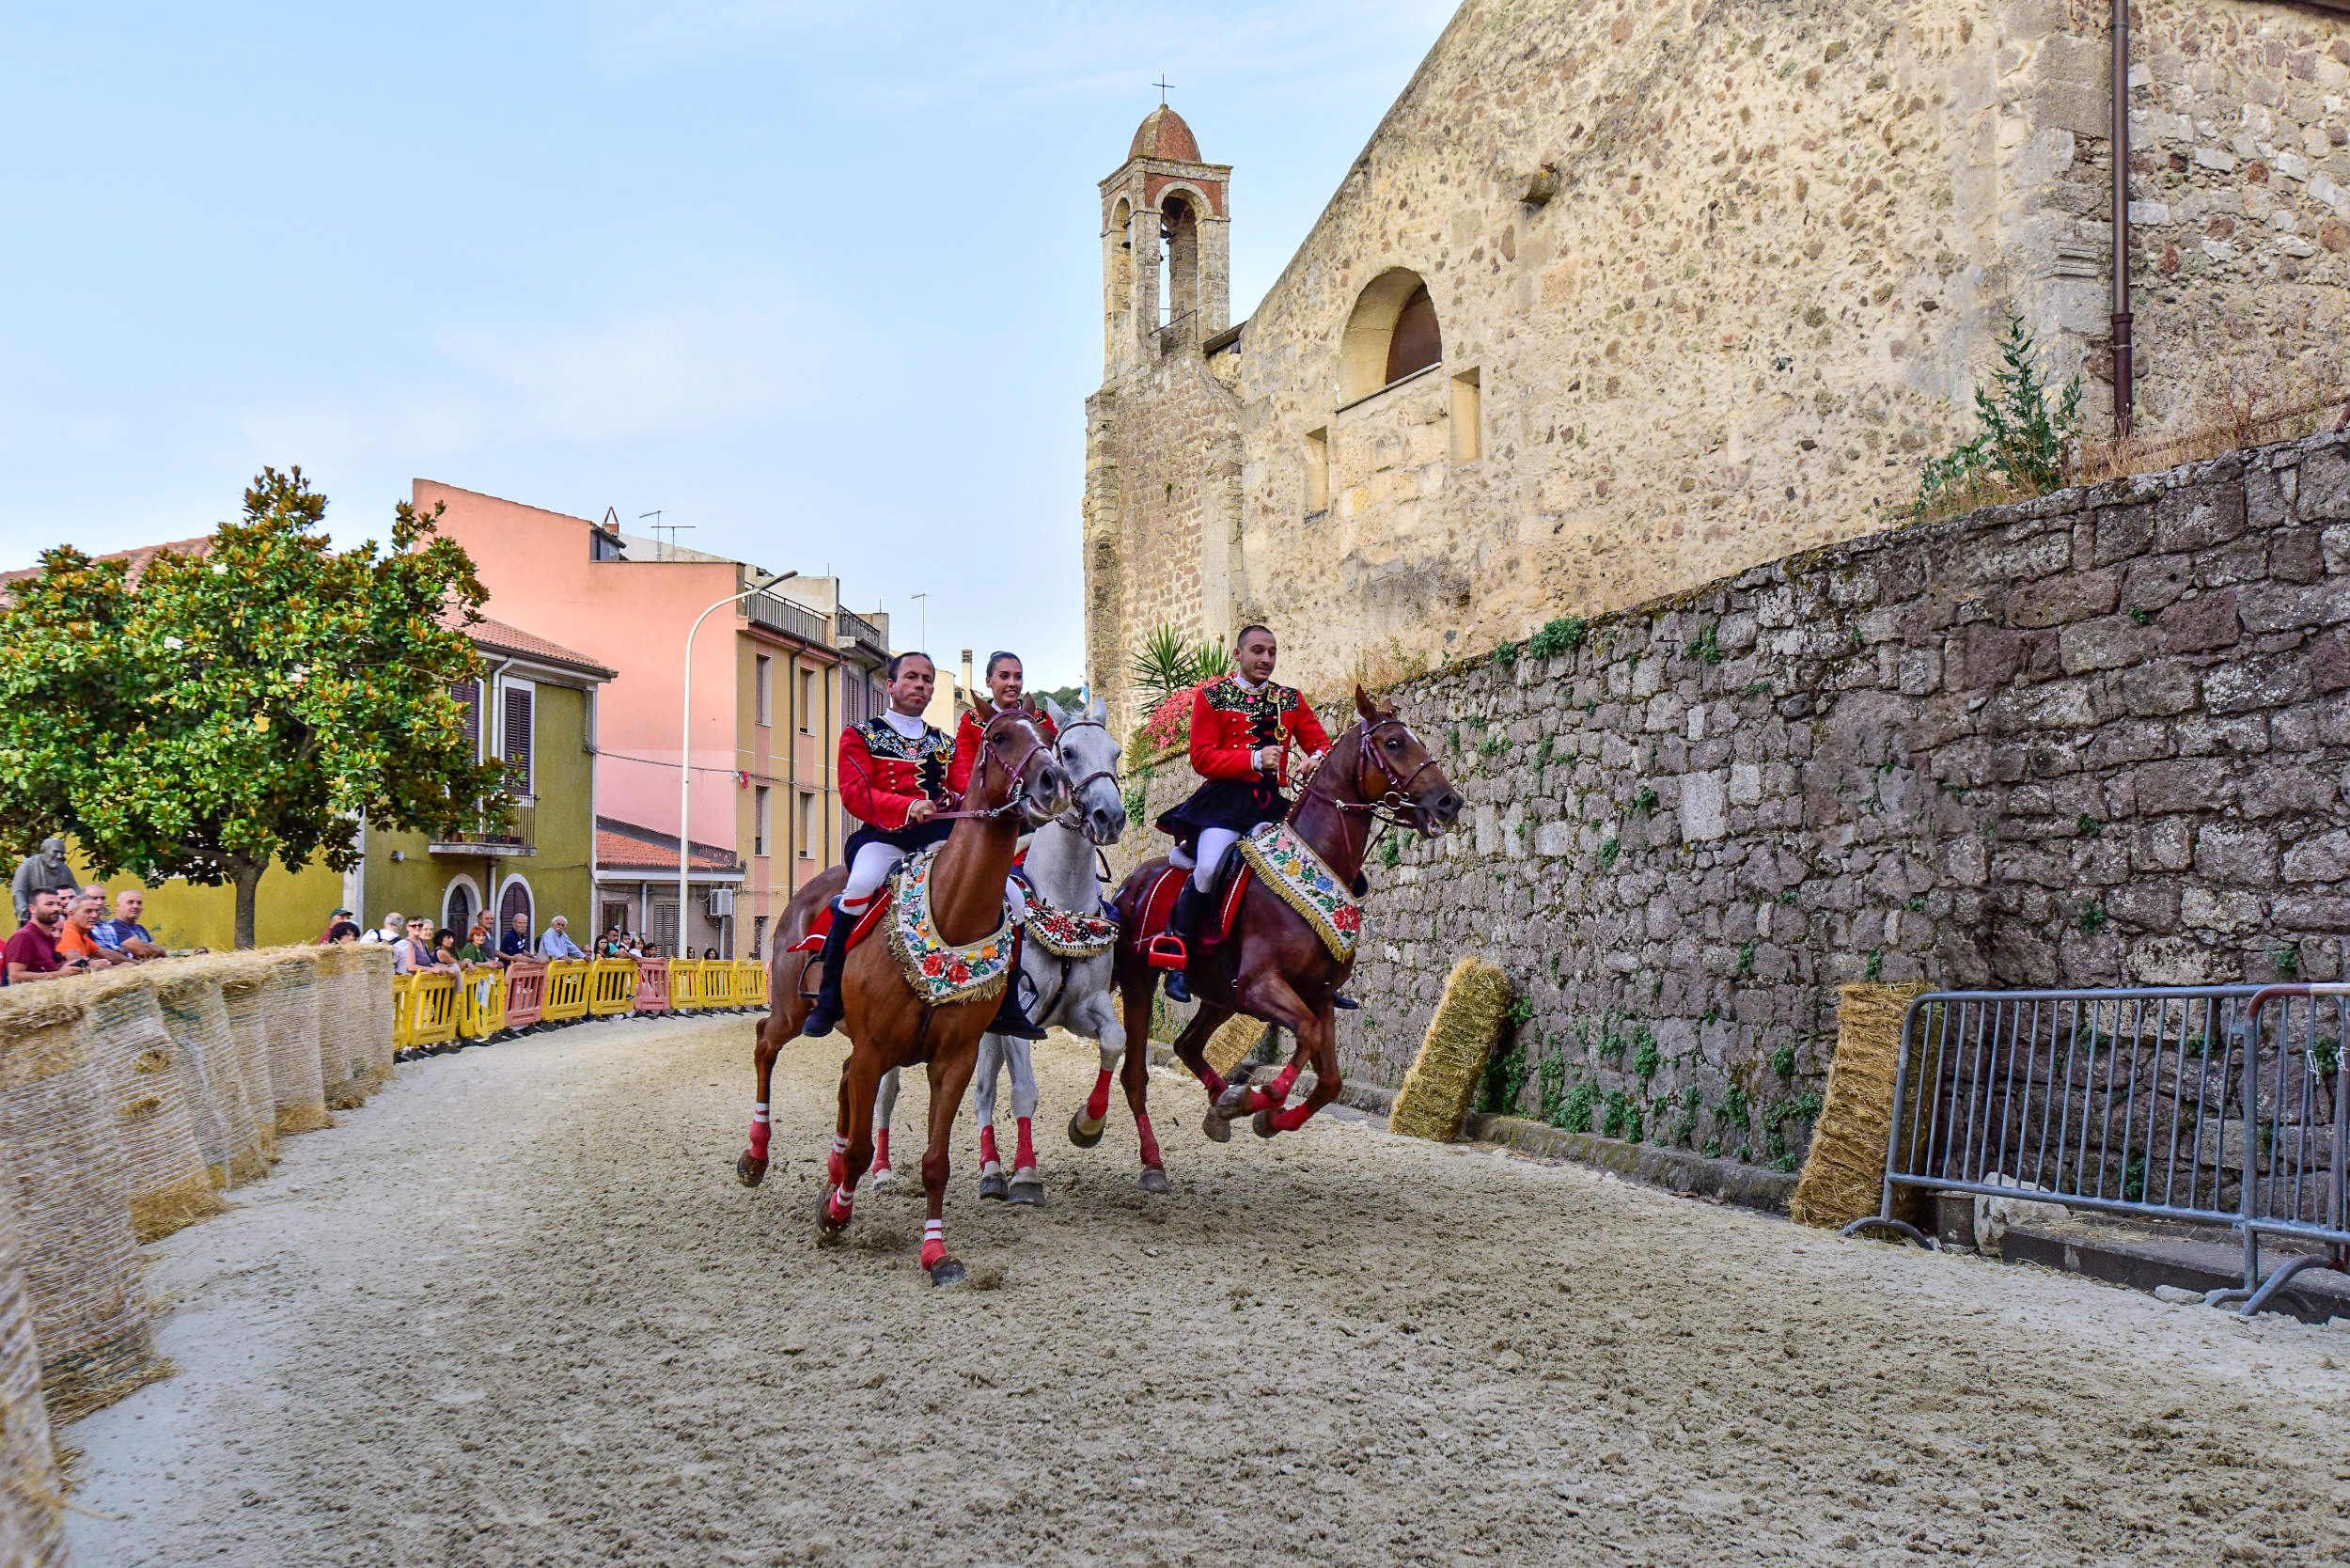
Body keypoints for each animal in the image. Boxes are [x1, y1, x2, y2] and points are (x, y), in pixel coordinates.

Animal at [733, 710, 1076, 1288]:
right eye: (1000, 736)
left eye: (1050, 739)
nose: (1054, 784)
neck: (953, 914)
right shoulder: (875, 1050)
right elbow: (863, 1150)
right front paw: (835, 1215)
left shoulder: (953, 1060)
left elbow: (934, 1161)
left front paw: (937, 1255)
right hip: (793, 1011)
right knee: (765, 1045)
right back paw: (756, 1157)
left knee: (841, 1083)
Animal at [865, 700, 1128, 1203]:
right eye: (1068, 751)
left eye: (1116, 752)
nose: (1110, 817)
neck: (1062, 903)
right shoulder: (1021, 1019)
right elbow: (1024, 1090)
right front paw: (1026, 1175)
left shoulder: (1085, 1010)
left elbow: (1114, 1042)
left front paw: (1088, 1124)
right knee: (890, 1089)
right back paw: (885, 1170)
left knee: (982, 1090)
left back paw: (991, 1169)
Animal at [1095, 686, 1448, 1175]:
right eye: (1393, 743)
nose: (1449, 803)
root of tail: (1130, 884)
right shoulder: (1262, 987)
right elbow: (1307, 1038)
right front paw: (1260, 1101)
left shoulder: (1318, 994)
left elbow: (1331, 1080)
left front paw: (1263, 1114)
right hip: (1140, 981)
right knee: (1135, 1074)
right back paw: (1146, 1156)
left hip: (1221, 995)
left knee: (1187, 1045)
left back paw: (1218, 1106)